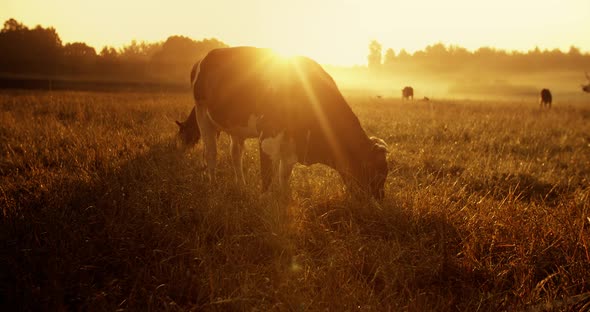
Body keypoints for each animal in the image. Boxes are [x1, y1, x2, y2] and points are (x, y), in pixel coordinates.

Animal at [180, 46, 394, 200]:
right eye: (378, 172)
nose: (379, 200)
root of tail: (205, 57)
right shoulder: (268, 136)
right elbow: (268, 173)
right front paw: (266, 201)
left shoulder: (294, 142)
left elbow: (284, 173)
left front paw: (284, 199)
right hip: (202, 113)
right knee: (211, 153)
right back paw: (212, 185)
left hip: (235, 126)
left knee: (235, 154)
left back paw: (241, 185)